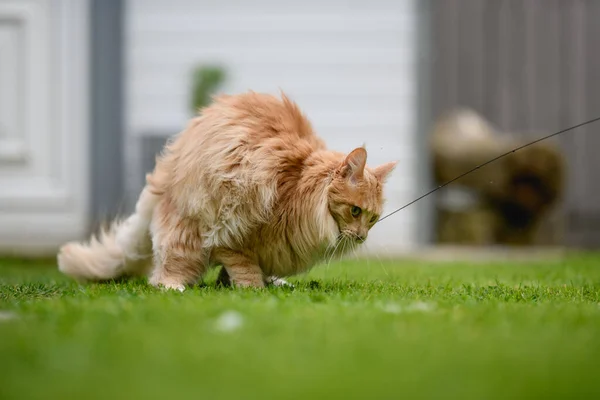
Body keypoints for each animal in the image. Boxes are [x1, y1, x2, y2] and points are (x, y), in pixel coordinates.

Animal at [56, 91, 394, 290]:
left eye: (373, 219)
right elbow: (243, 267)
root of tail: (167, 169)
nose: (362, 236)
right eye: (355, 211)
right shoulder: (230, 232)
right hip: (186, 230)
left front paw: (247, 283)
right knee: (164, 273)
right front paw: (251, 288)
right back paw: (176, 287)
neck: (297, 183)